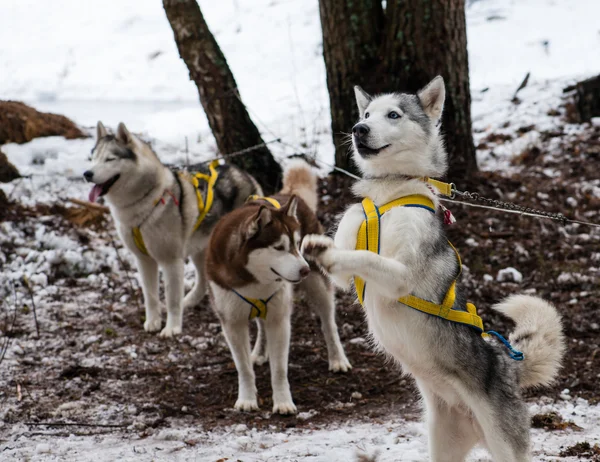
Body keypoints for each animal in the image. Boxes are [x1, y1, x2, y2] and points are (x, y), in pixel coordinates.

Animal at [84, 122, 260, 338]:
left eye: (110, 159)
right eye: (93, 158)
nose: (87, 174)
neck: (145, 200)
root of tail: (242, 173)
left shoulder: (171, 262)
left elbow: (172, 300)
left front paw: (172, 328)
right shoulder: (144, 260)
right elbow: (150, 296)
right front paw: (153, 322)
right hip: (200, 249)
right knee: (203, 280)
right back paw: (191, 300)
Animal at [205, 160, 350, 416]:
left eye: (297, 243)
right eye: (279, 247)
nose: (304, 269)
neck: (254, 279)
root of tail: (284, 194)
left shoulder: (280, 319)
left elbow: (280, 369)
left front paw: (283, 402)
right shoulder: (232, 322)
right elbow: (243, 368)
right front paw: (247, 399)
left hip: (318, 288)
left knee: (328, 323)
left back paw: (337, 359)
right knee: (261, 325)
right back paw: (259, 353)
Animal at [302, 77, 564, 460]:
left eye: (393, 114)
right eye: (366, 114)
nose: (358, 129)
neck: (388, 194)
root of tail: (507, 362)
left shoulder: (400, 275)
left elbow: (368, 258)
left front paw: (329, 252)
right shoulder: (347, 258)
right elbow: (345, 249)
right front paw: (316, 246)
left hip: (504, 445)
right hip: (442, 442)